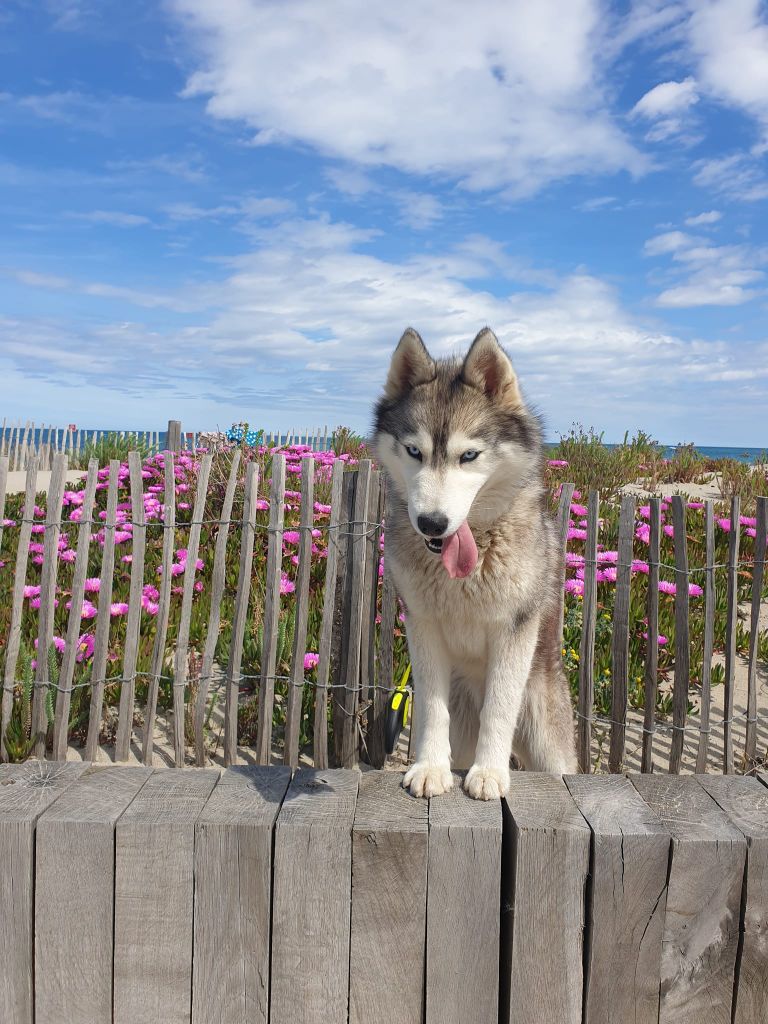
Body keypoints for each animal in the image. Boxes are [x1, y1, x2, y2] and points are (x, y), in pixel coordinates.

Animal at [372, 327, 577, 798]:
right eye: (414, 451)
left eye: (468, 456)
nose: (432, 523)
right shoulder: (423, 624)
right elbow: (431, 706)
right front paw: (430, 767)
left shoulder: (513, 629)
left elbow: (498, 707)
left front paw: (489, 772)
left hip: (548, 735)